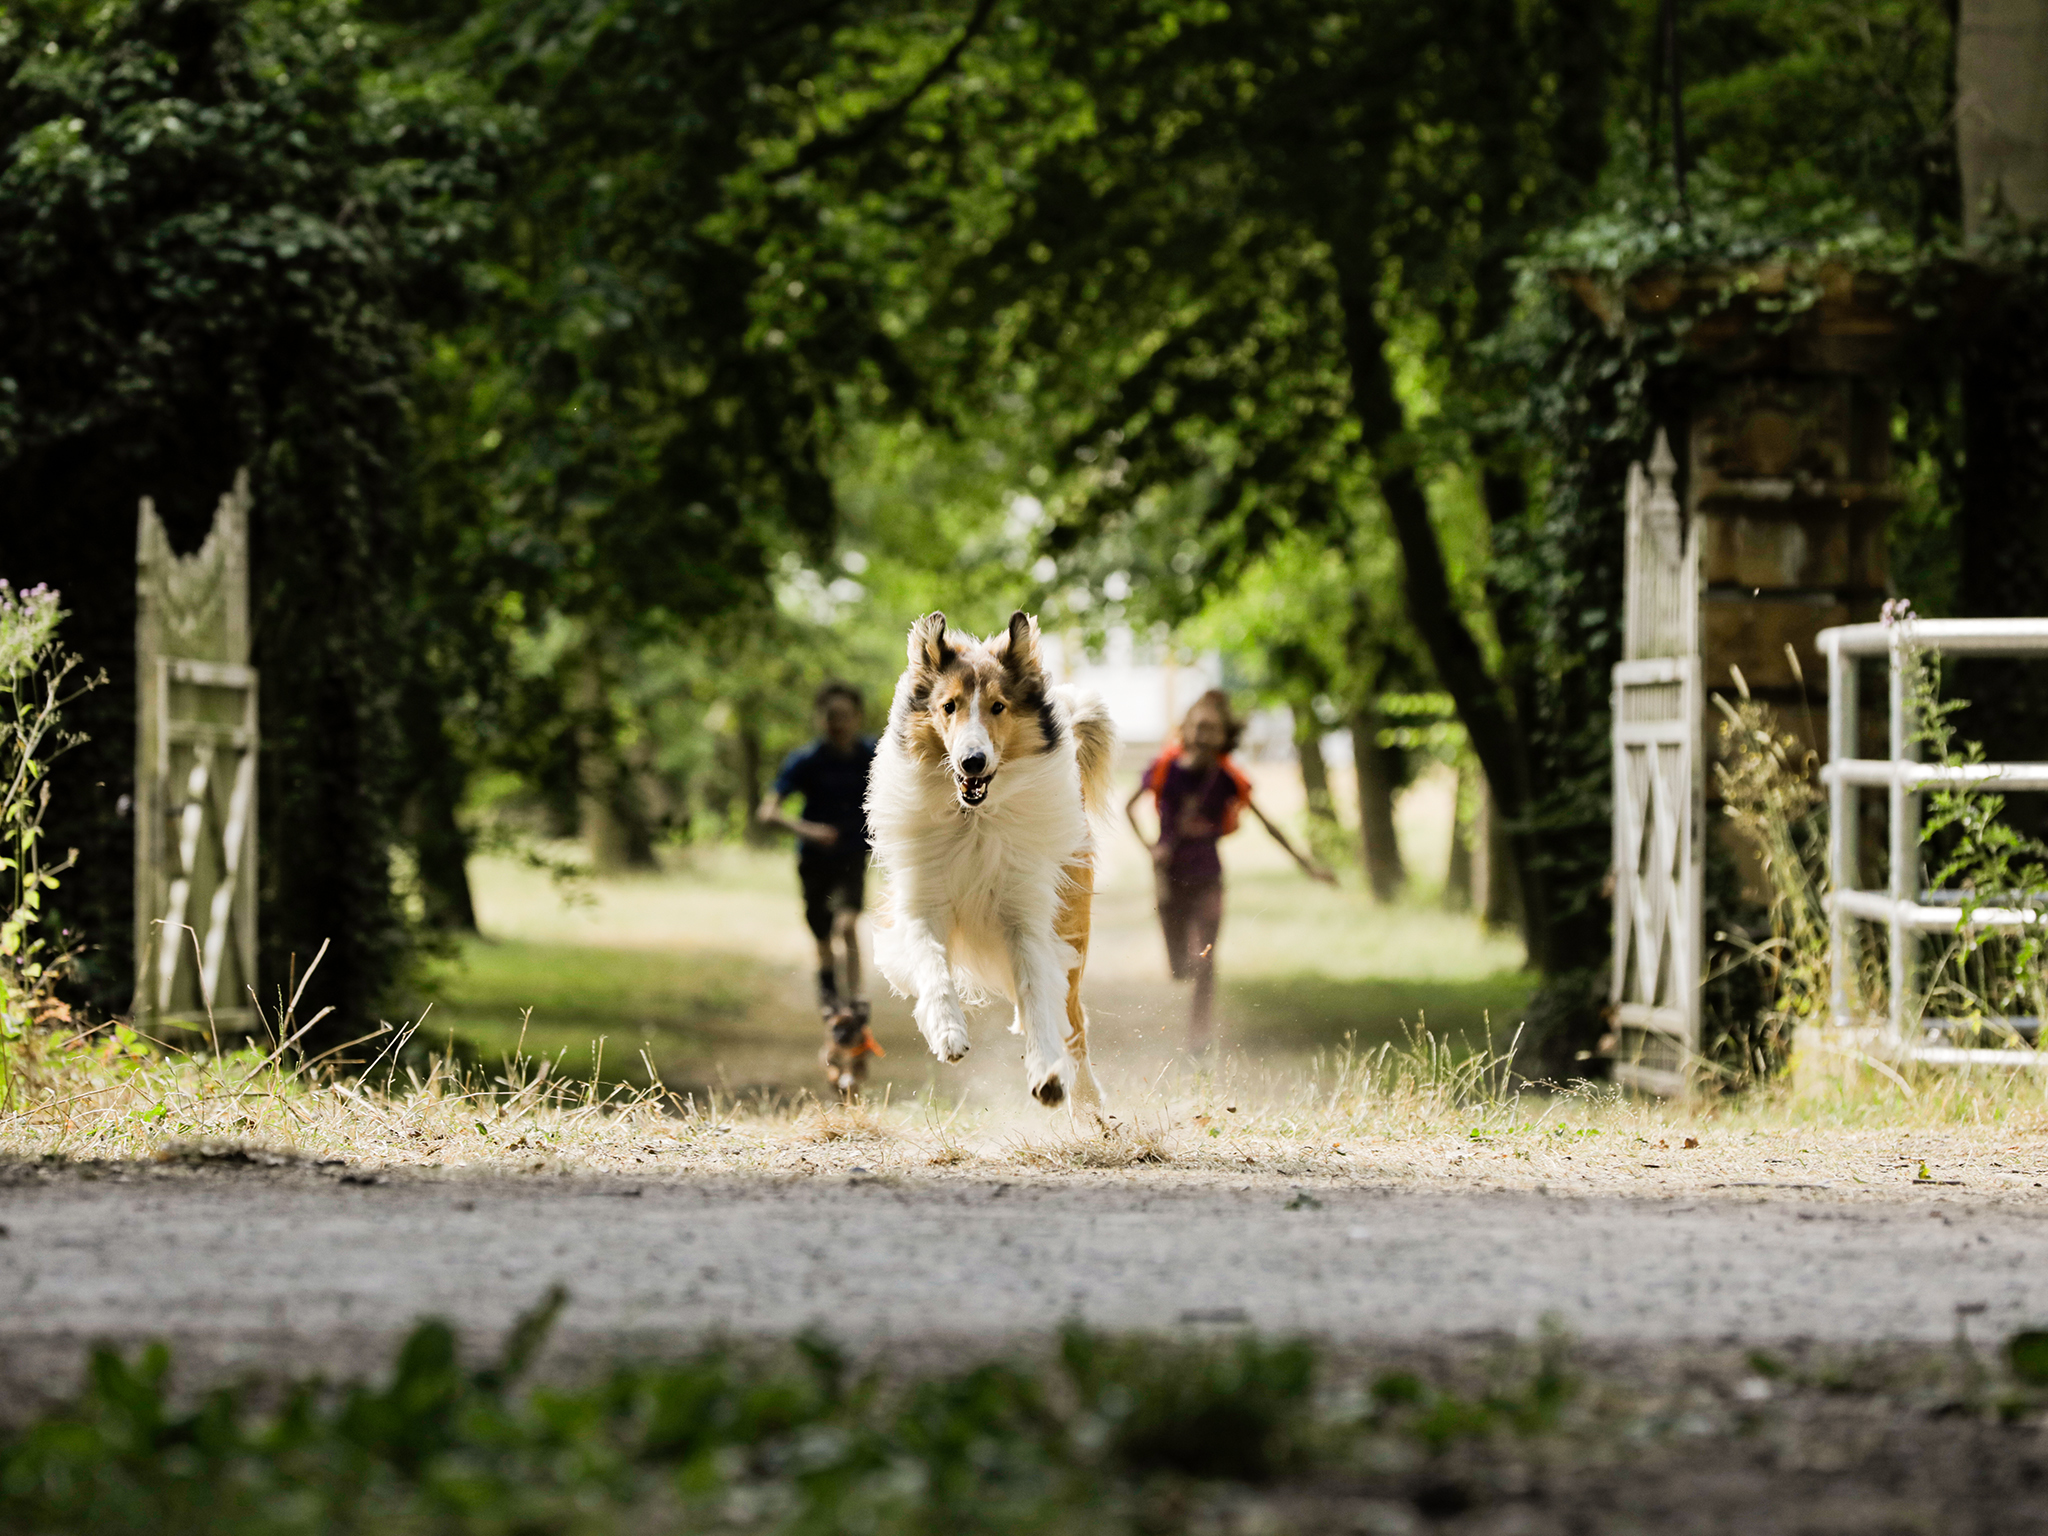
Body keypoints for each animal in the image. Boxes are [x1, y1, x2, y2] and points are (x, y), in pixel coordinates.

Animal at [864, 610, 1122, 1105]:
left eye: (998, 707)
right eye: (949, 706)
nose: (972, 763)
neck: (974, 819)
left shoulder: (1027, 917)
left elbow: (1036, 989)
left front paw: (1047, 1073)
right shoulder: (921, 905)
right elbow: (932, 964)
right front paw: (948, 1033)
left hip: (1072, 932)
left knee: (1074, 1026)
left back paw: (1087, 1101)